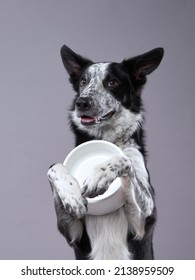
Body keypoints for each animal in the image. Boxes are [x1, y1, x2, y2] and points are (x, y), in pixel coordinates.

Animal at [48, 44, 164, 260]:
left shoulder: (143, 221)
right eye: (84, 81)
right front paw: (73, 195)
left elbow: (124, 158)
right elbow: (54, 166)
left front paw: (99, 176)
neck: (106, 138)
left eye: (112, 82)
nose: (82, 102)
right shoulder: (73, 233)